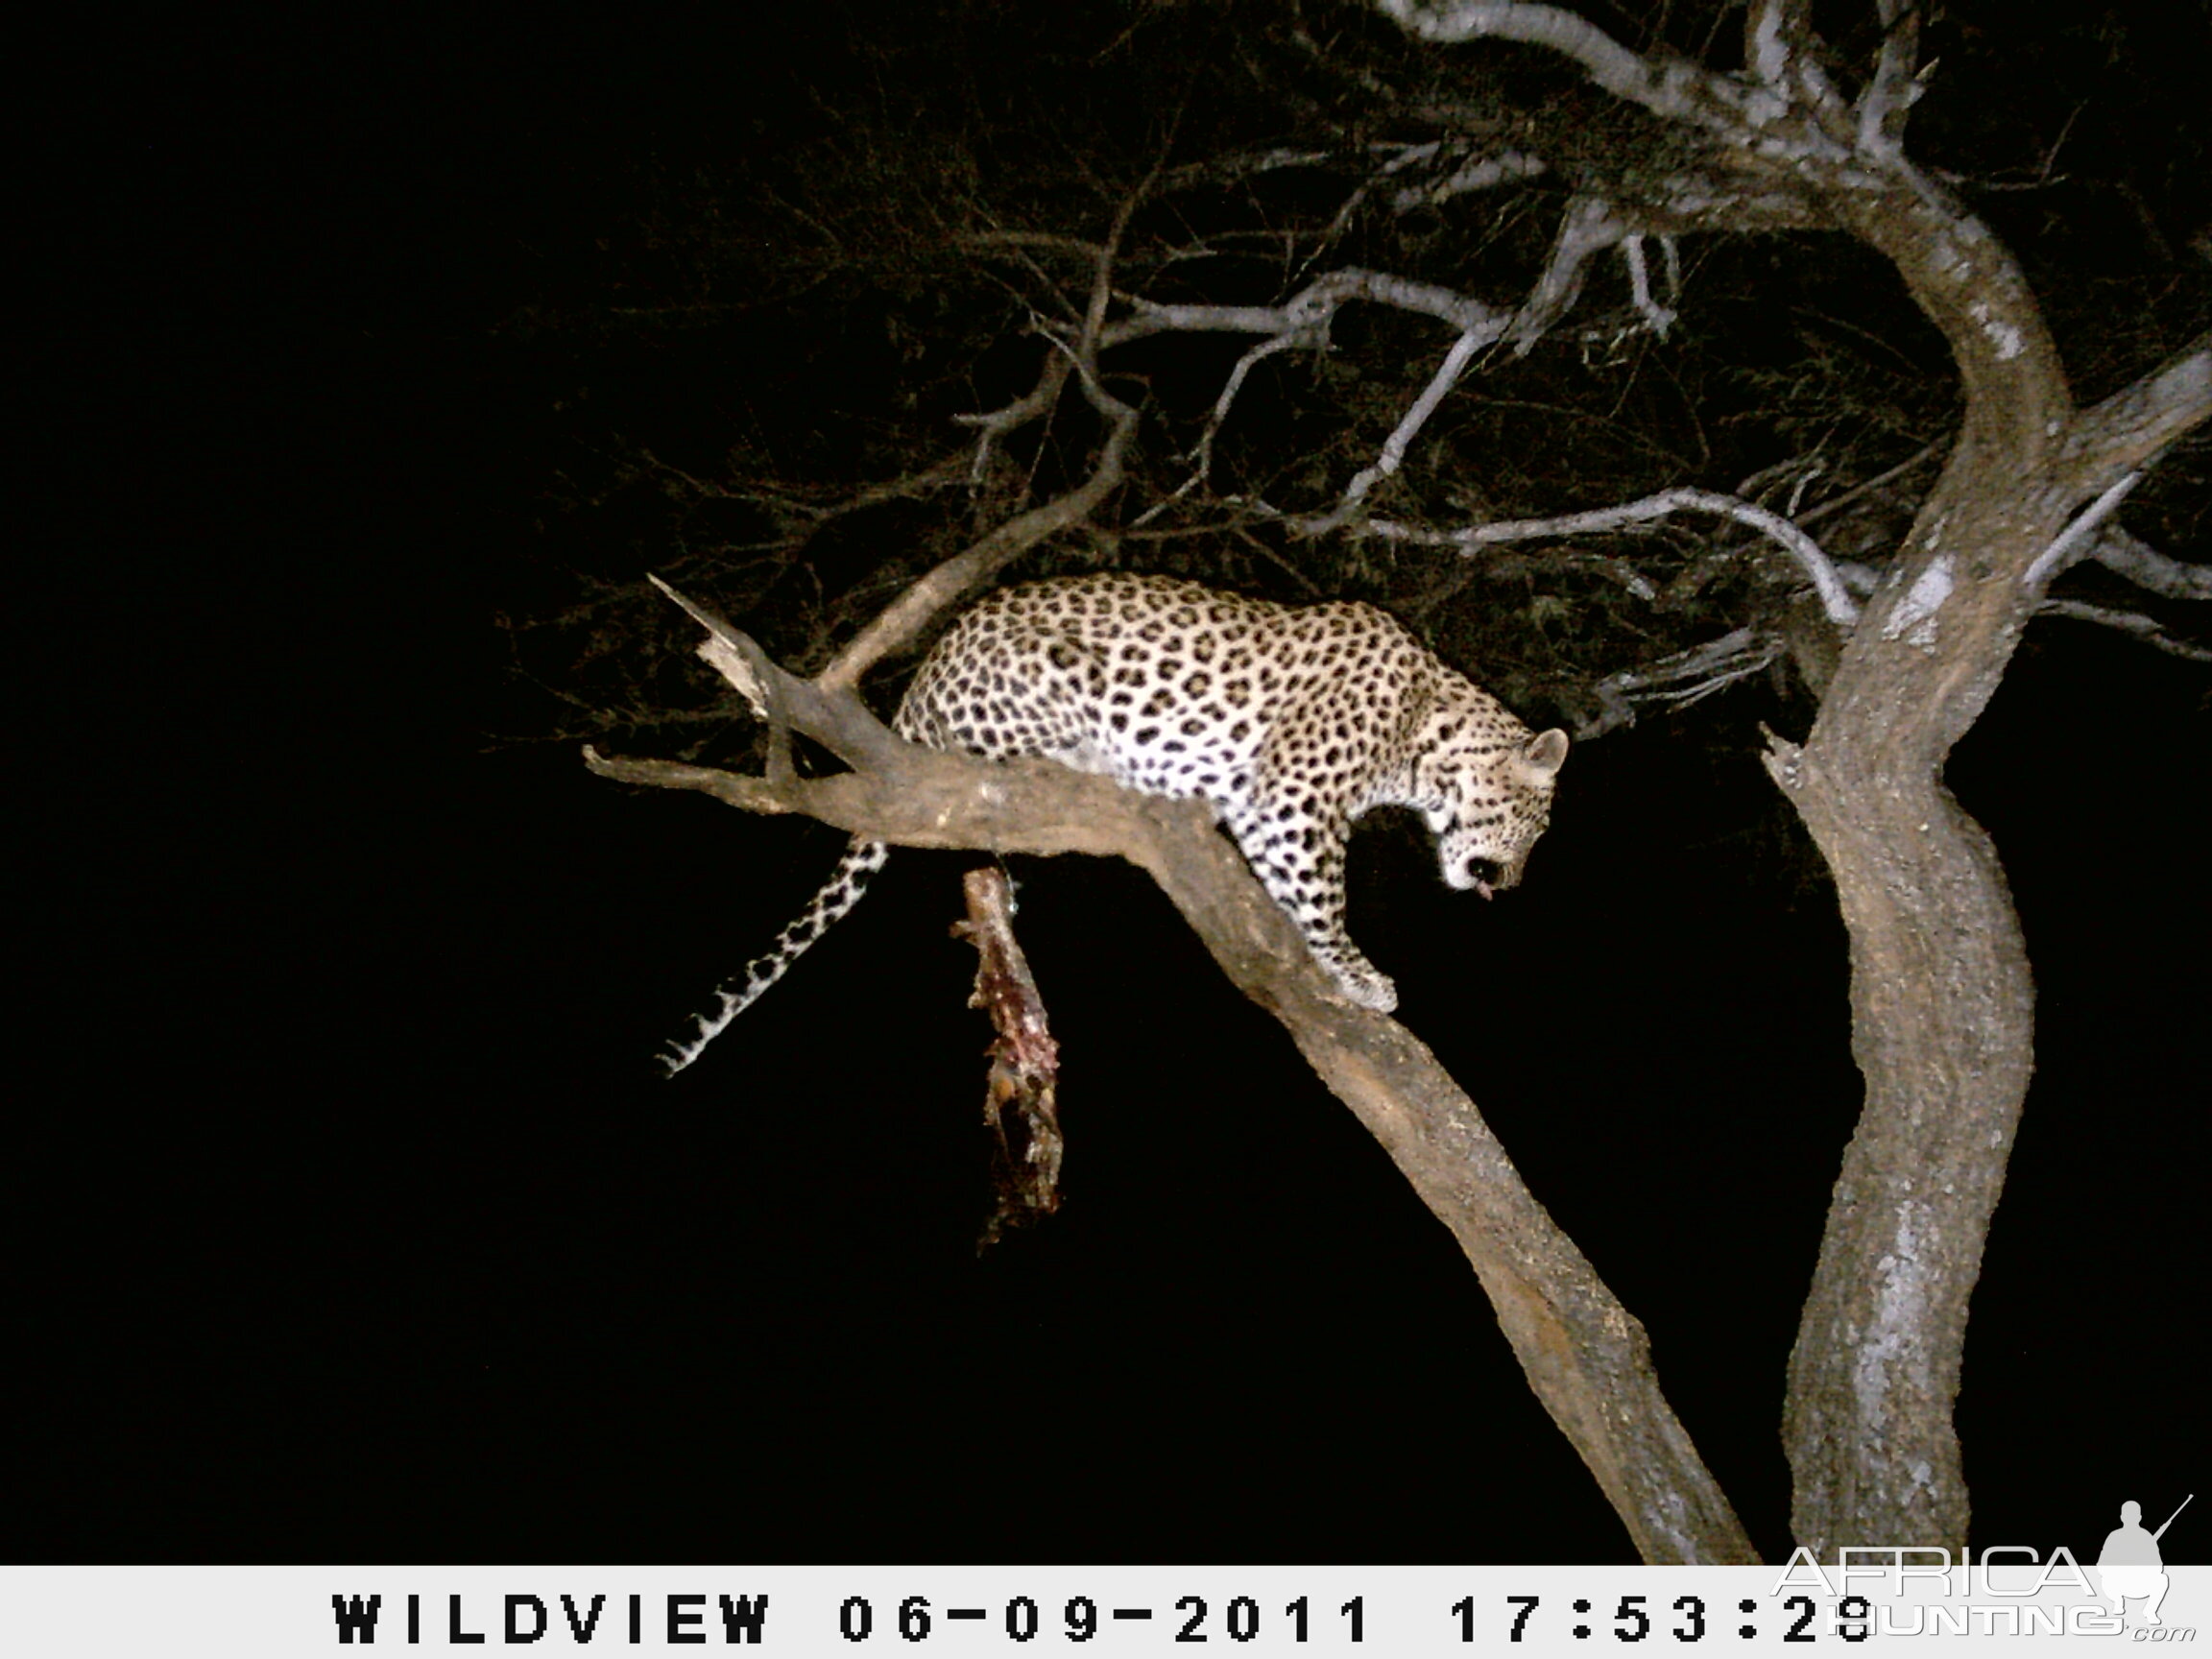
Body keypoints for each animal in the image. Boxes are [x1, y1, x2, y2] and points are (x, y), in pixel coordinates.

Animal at [654, 570, 1575, 1070]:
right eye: (1535, 828)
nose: (1515, 883)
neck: (1423, 730)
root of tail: (919, 681)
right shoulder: (1294, 798)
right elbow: (1323, 899)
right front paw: (1363, 977)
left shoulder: (1268, 807)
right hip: (1049, 680)